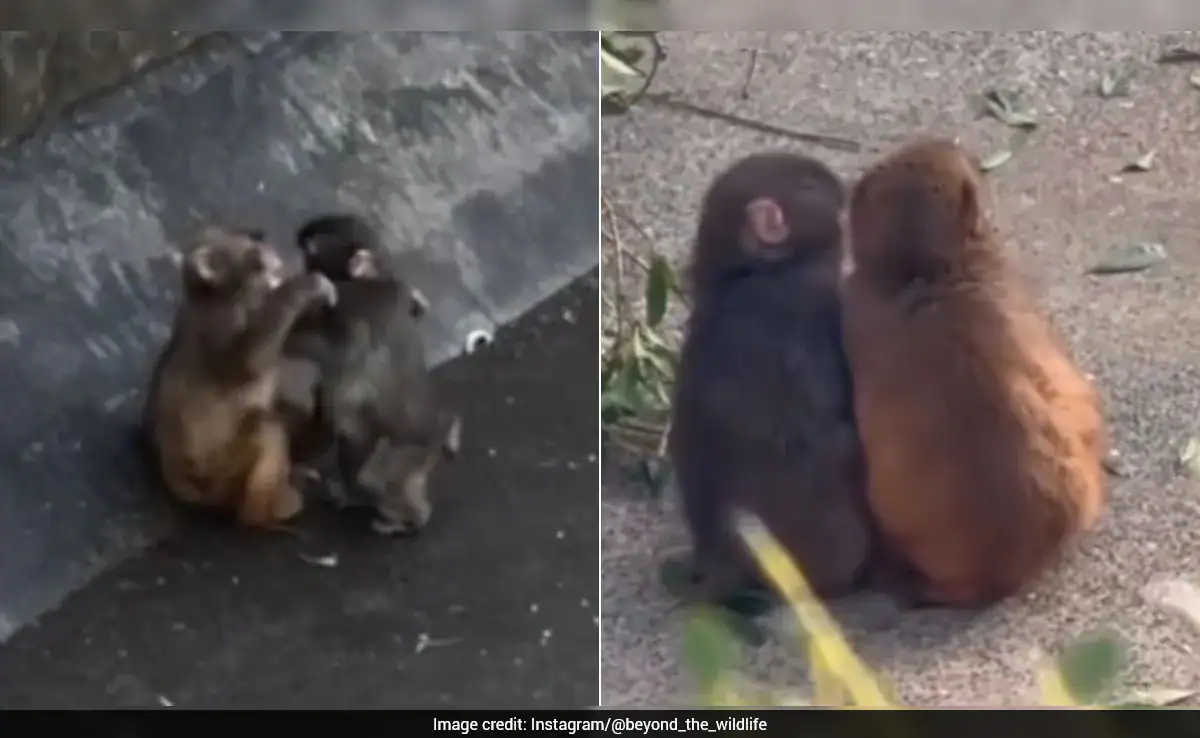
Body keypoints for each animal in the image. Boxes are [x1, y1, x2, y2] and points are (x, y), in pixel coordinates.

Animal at [142, 226, 338, 530]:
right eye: (257, 260)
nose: (276, 261)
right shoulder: (223, 319)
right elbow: (245, 364)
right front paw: (309, 286)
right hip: (220, 478)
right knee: (265, 427)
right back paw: (265, 514)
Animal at [283, 213, 461, 536]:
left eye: (312, 255)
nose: (305, 269)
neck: (374, 279)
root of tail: (436, 434)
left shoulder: (350, 304)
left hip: (405, 455)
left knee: (370, 473)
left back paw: (407, 518)